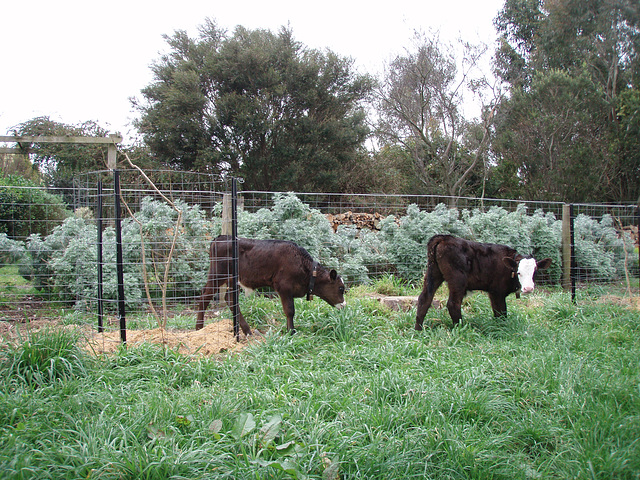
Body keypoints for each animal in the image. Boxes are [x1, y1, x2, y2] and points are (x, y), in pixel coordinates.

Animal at [195, 236, 344, 334]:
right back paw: (199, 328)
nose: (344, 305)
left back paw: (247, 330)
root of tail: (220, 238)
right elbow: (290, 311)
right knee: (205, 296)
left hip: (232, 279)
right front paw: (291, 332)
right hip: (217, 274)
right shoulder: (284, 287)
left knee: (230, 299)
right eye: (341, 288)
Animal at [416, 233, 552, 330]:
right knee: (453, 303)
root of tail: (444, 238)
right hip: (457, 280)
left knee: (424, 298)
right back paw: (460, 328)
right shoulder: (497, 292)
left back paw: (419, 328)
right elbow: (501, 312)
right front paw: (501, 328)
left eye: (535, 272)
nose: (528, 288)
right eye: (518, 272)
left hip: (433, 273)